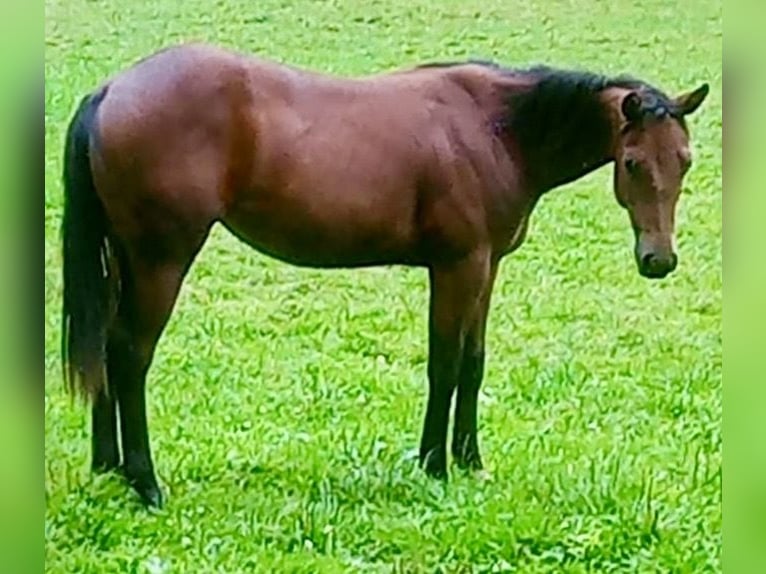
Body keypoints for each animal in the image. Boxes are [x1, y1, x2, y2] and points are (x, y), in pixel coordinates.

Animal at [59, 43, 709, 508]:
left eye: (684, 160)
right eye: (632, 162)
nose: (659, 260)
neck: (497, 128)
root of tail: (112, 88)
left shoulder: (487, 267)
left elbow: (473, 364)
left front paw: (470, 460)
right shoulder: (457, 266)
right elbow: (445, 364)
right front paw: (434, 464)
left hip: (127, 257)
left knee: (105, 348)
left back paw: (108, 465)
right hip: (161, 259)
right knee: (129, 354)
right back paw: (145, 482)